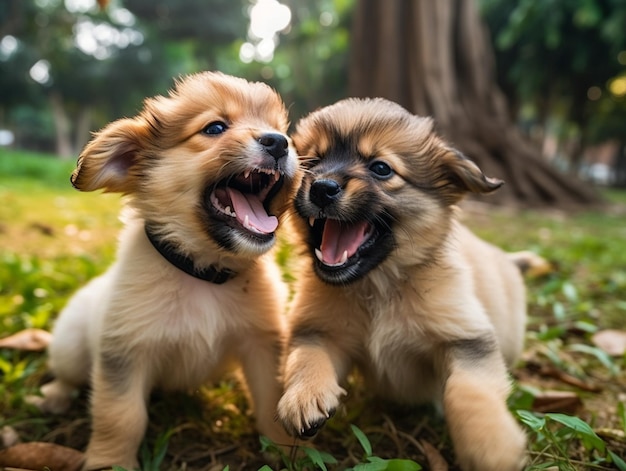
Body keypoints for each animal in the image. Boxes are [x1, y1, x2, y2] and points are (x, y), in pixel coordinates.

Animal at [31, 72, 298, 470]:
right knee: (67, 375)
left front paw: (288, 451)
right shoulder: (124, 352)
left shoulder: (263, 344)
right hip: (71, 347)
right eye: (214, 128)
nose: (279, 143)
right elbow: (120, 417)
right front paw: (110, 462)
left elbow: (271, 402)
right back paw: (55, 396)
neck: (203, 271)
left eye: (281, 130)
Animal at [278, 98, 528, 471]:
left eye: (381, 168)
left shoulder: (464, 338)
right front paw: (304, 396)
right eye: (313, 161)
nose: (321, 187)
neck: (378, 287)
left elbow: (467, 390)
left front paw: (491, 444)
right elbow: (306, 356)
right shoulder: (319, 329)